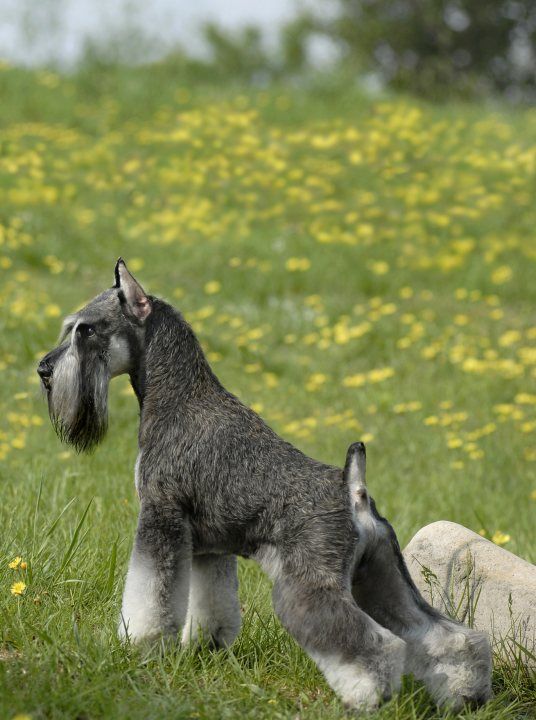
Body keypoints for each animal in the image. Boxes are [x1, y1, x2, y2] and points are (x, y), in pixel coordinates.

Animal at [35, 262, 492, 712]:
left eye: (86, 330)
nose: (43, 370)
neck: (178, 397)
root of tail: (354, 491)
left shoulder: (160, 519)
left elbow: (151, 597)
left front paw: (139, 645)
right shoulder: (209, 549)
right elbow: (211, 606)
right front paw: (205, 648)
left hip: (306, 587)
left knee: (375, 645)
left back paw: (367, 699)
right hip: (381, 578)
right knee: (447, 636)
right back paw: (465, 695)